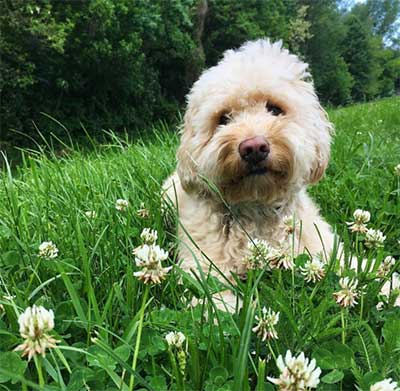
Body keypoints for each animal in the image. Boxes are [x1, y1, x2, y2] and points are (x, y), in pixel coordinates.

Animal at [164, 39, 336, 310]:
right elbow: (215, 301)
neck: (256, 209)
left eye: (275, 109)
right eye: (223, 119)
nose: (253, 147)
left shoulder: (320, 245)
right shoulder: (202, 267)